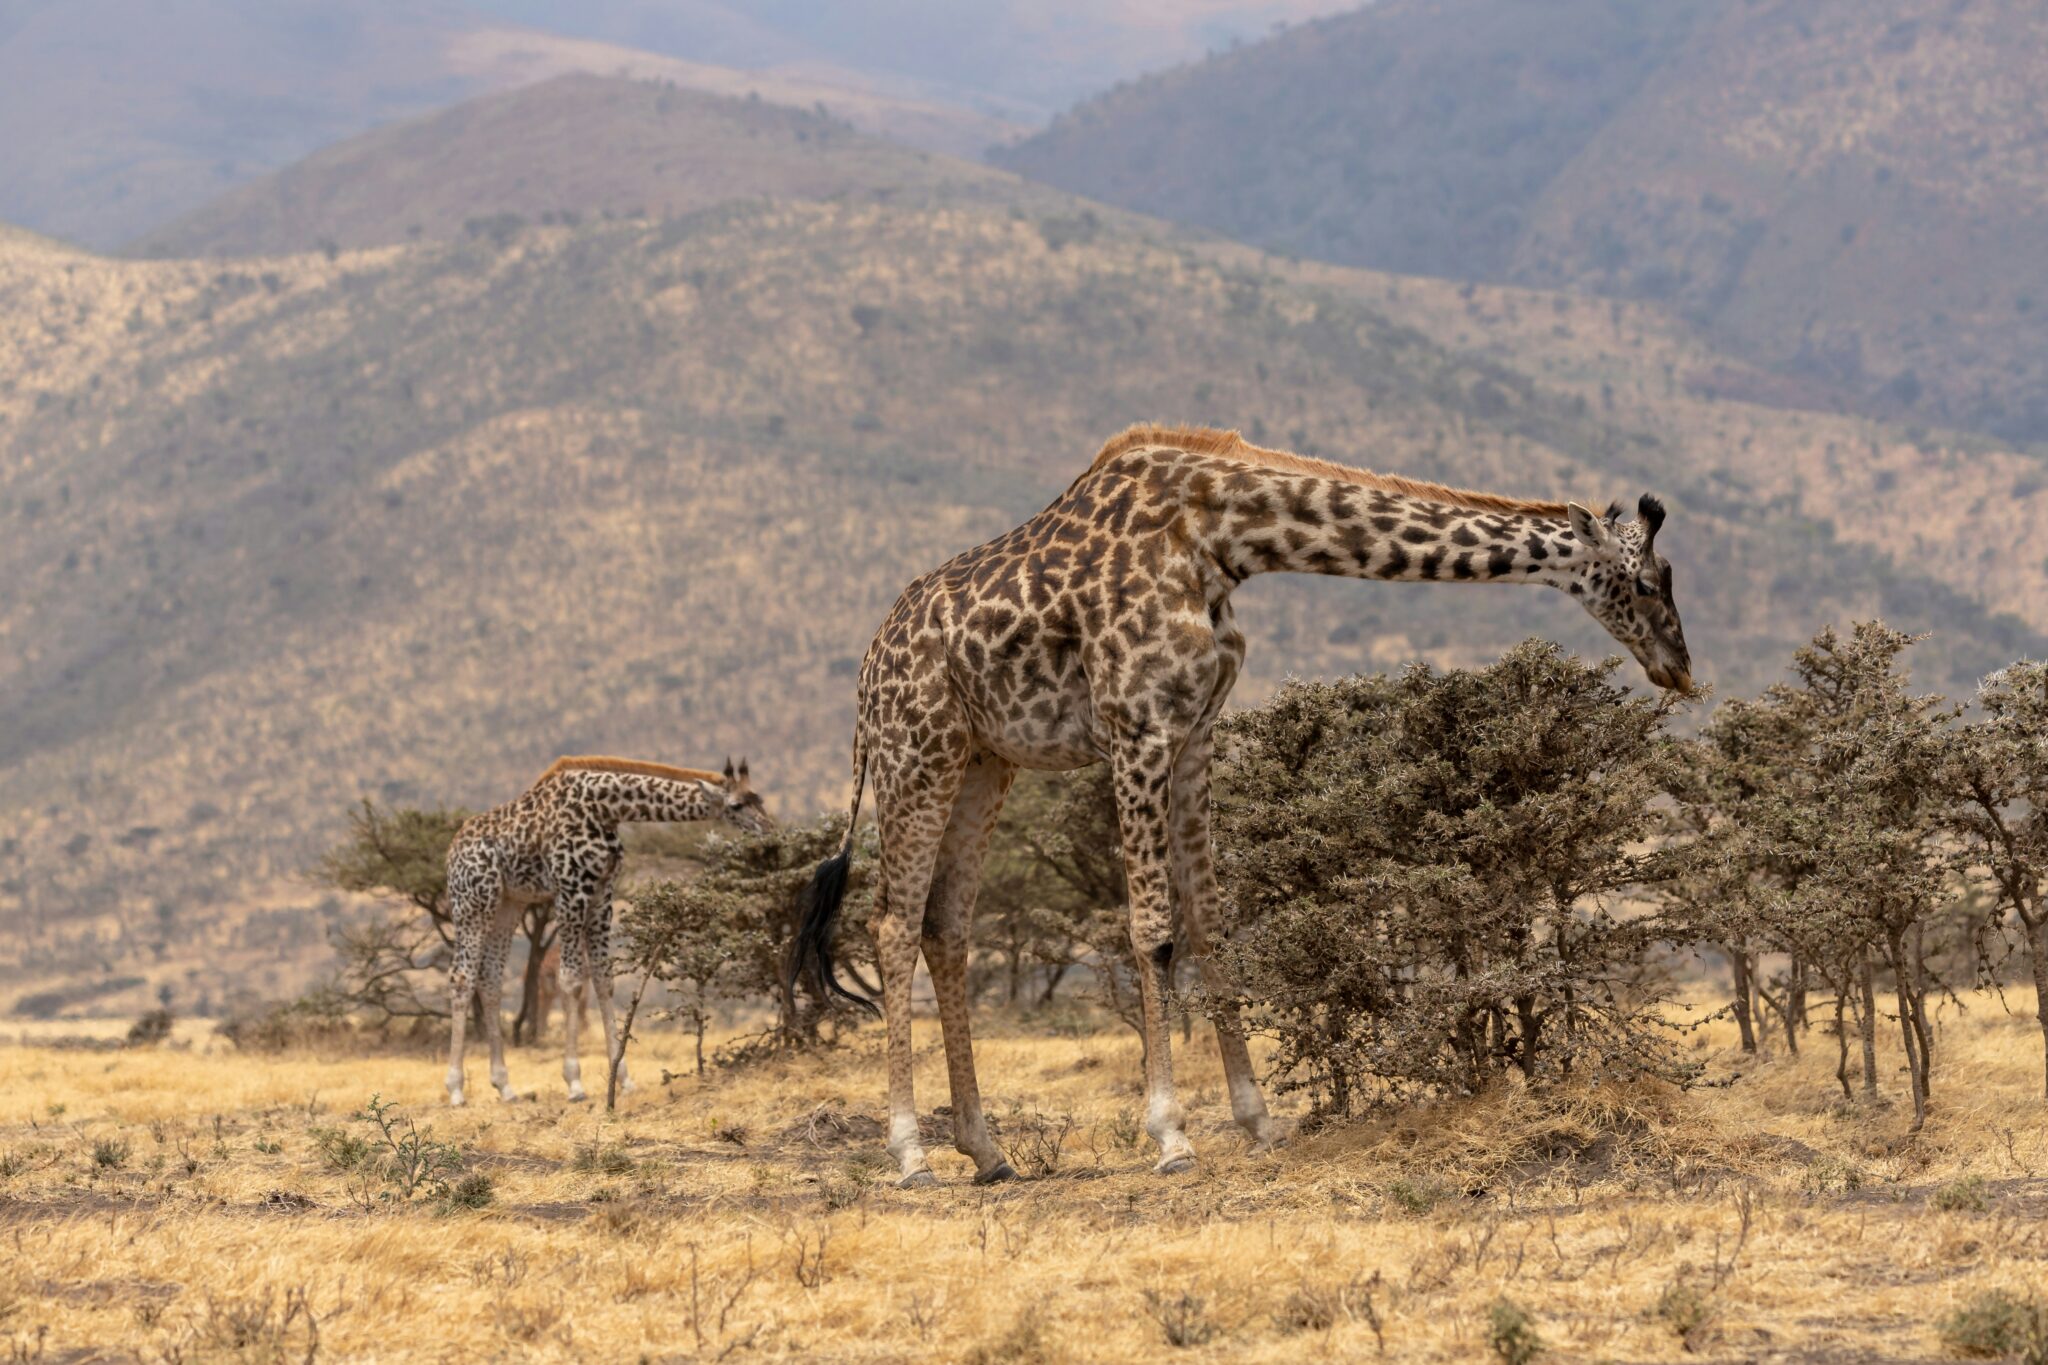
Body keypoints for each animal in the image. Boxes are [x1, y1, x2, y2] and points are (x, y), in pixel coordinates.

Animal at [444, 757, 770, 1113]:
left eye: (760, 799)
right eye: (736, 805)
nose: (768, 830)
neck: (605, 808)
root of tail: (451, 852)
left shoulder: (602, 893)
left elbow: (604, 981)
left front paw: (623, 1078)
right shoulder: (570, 890)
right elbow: (572, 981)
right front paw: (575, 1082)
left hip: (508, 904)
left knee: (490, 979)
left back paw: (505, 1086)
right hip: (473, 903)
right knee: (461, 978)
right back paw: (456, 1090)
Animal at [790, 423, 1687, 1186]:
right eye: (1647, 581)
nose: (1678, 665)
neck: (1219, 537)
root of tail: (867, 670)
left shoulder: (1195, 733)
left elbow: (1213, 923)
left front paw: (1259, 1121)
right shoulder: (1139, 728)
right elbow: (1152, 928)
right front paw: (1171, 1135)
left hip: (985, 762)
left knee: (947, 926)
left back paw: (985, 1148)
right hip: (917, 753)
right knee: (893, 922)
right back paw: (910, 1152)